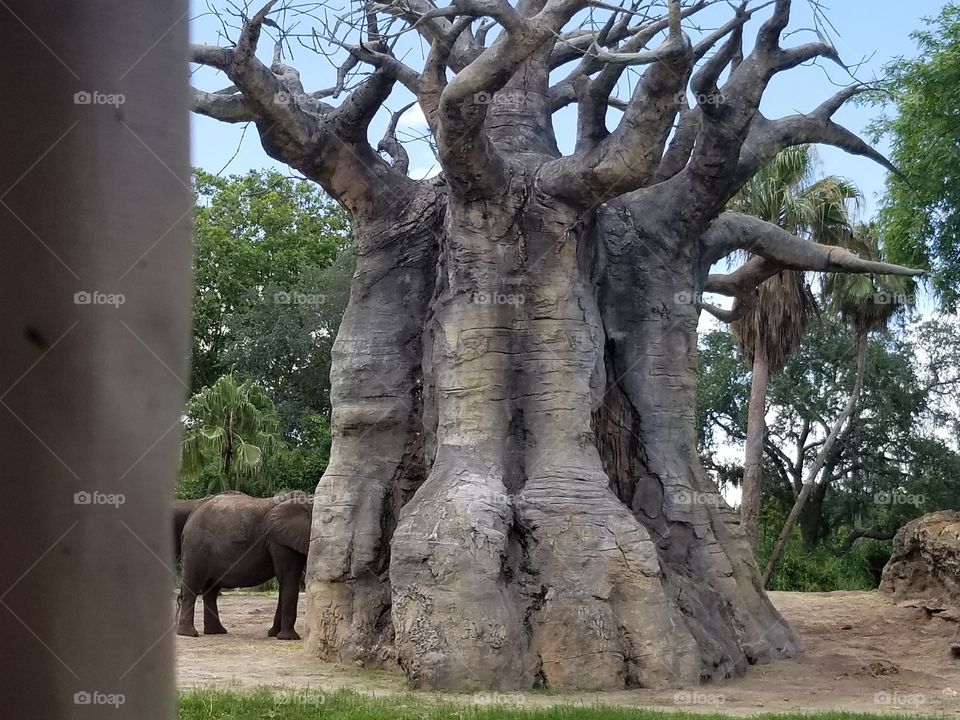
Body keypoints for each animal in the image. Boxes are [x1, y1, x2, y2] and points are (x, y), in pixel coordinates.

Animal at [176, 492, 312, 640]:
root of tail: (192, 514)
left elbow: (285, 581)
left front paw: (274, 634)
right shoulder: (279, 541)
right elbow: (289, 577)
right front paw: (288, 638)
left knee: (211, 591)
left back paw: (216, 631)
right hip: (196, 548)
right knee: (193, 587)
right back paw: (189, 634)